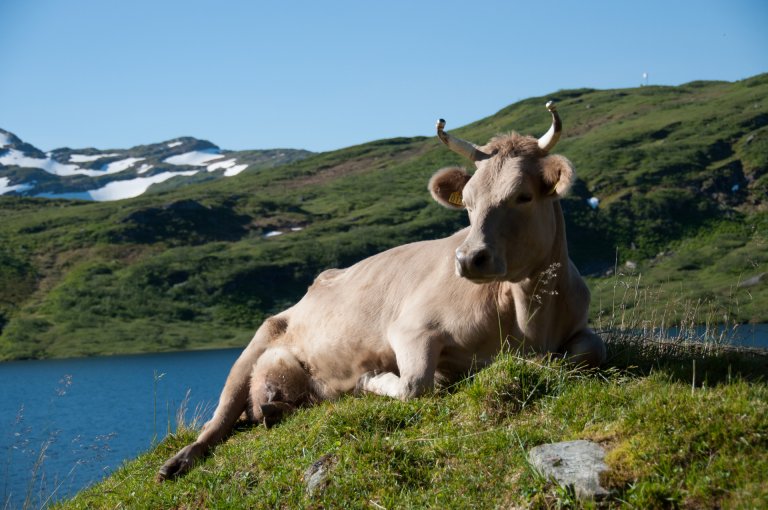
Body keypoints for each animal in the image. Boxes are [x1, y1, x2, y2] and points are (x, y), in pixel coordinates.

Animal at [156, 103, 608, 482]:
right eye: (468, 202)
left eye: (522, 196)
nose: (468, 259)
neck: (528, 316)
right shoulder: (411, 330)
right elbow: (413, 386)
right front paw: (375, 379)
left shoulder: (577, 327)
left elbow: (591, 349)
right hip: (254, 346)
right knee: (218, 420)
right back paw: (178, 461)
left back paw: (273, 409)